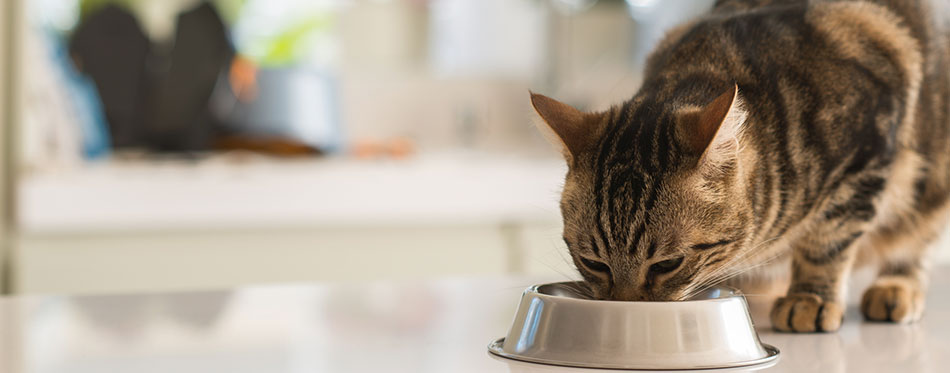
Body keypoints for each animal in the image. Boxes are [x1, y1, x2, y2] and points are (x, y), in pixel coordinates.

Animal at [532, 0, 950, 332]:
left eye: (668, 264)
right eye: (593, 263)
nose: (624, 308)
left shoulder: (867, 152)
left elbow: (827, 240)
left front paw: (810, 297)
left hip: (930, 187)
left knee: (913, 243)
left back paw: (897, 287)